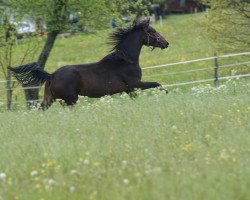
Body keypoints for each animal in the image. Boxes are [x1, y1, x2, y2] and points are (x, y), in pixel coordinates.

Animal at [9, 19, 170, 109]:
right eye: (152, 31)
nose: (166, 43)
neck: (125, 60)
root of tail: (51, 75)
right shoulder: (136, 84)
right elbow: (158, 84)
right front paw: (167, 95)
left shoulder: (129, 90)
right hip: (70, 100)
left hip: (50, 99)